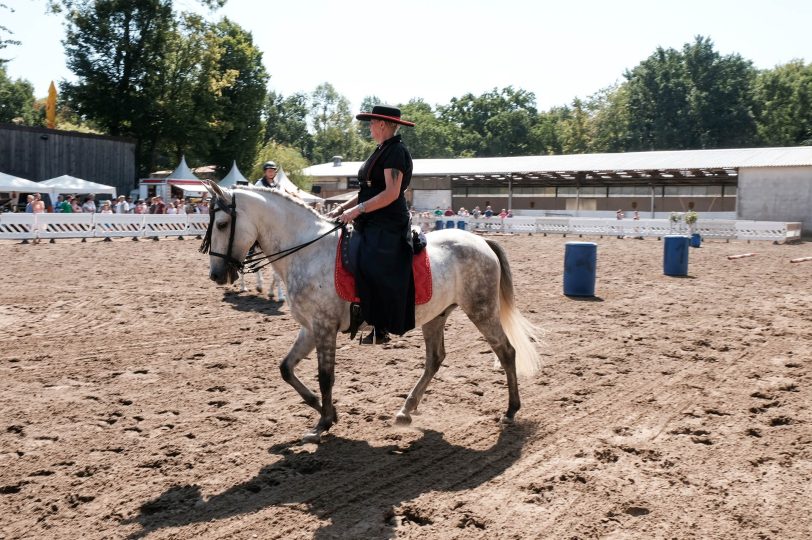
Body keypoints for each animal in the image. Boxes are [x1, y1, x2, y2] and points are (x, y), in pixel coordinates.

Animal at [202, 181, 540, 442]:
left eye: (222, 224)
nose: (217, 275)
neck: (308, 250)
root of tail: (480, 240)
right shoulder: (310, 328)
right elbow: (286, 369)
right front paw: (325, 411)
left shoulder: (323, 327)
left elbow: (326, 376)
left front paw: (322, 424)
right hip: (436, 316)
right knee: (434, 359)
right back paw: (406, 410)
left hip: (481, 310)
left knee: (506, 351)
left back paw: (511, 410)